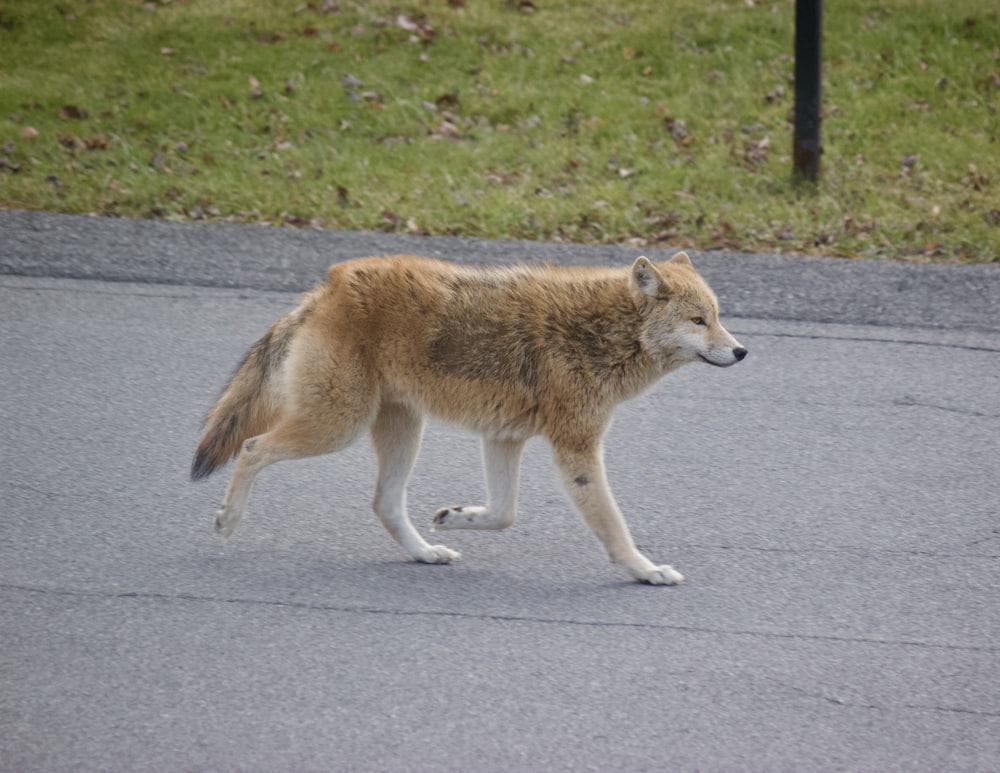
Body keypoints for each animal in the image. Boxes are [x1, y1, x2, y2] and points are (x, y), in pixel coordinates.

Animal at [191, 253, 748, 584]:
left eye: (719, 317)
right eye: (699, 321)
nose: (742, 352)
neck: (600, 332)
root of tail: (325, 286)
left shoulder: (504, 438)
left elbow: (503, 514)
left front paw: (457, 517)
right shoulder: (576, 449)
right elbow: (614, 528)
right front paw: (646, 571)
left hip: (400, 430)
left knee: (384, 503)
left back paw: (427, 553)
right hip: (338, 426)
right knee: (252, 449)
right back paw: (227, 520)